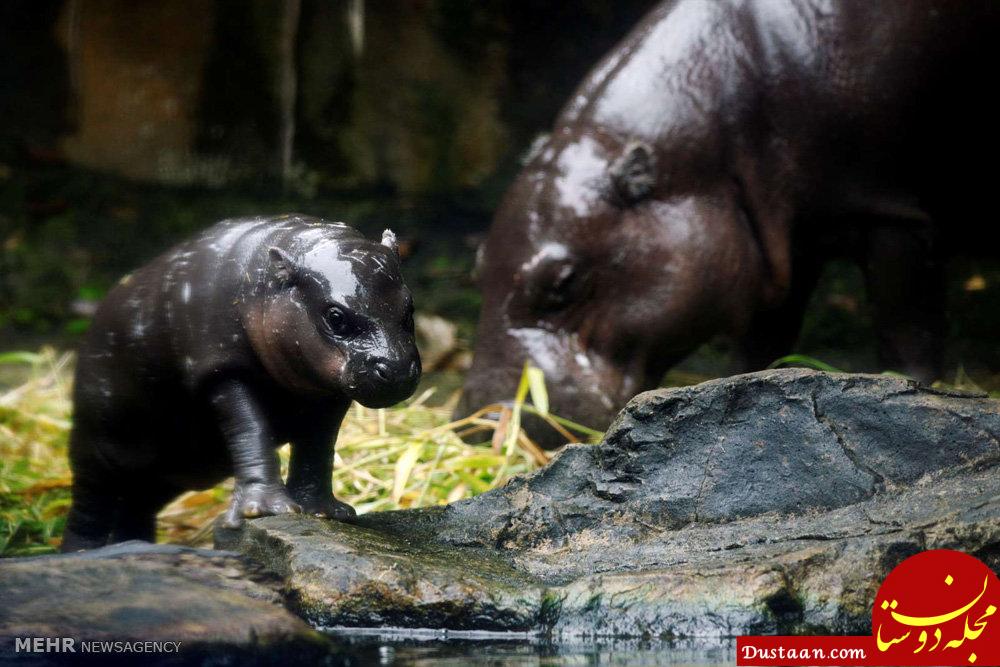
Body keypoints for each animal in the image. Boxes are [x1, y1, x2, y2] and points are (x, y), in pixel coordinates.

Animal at [61, 215, 422, 552]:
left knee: (136, 506)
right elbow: (251, 431)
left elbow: (317, 448)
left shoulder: (328, 394)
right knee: (88, 508)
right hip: (95, 448)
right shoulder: (223, 372)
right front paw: (263, 510)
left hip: (163, 470)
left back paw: (136, 548)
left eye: (410, 307)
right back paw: (80, 552)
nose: (396, 368)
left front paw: (325, 512)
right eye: (335, 316)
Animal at [458, 2, 996, 448]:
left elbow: (906, 330)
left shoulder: (890, 215)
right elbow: (763, 340)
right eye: (478, 270)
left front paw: (909, 389)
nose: (488, 420)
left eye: (565, 282)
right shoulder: (782, 244)